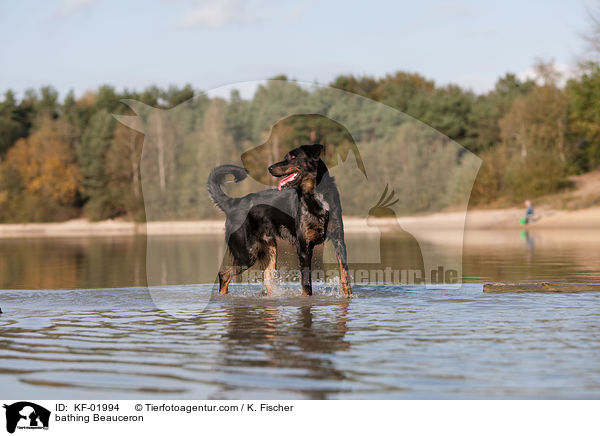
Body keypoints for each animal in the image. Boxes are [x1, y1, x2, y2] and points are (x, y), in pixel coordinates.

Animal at [210, 144, 354, 296]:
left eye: (293, 157)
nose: (270, 168)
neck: (317, 196)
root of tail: (233, 203)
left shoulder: (339, 241)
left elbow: (344, 274)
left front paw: (348, 296)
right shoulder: (304, 247)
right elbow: (307, 285)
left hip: (270, 253)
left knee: (266, 283)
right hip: (247, 254)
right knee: (223, 275)